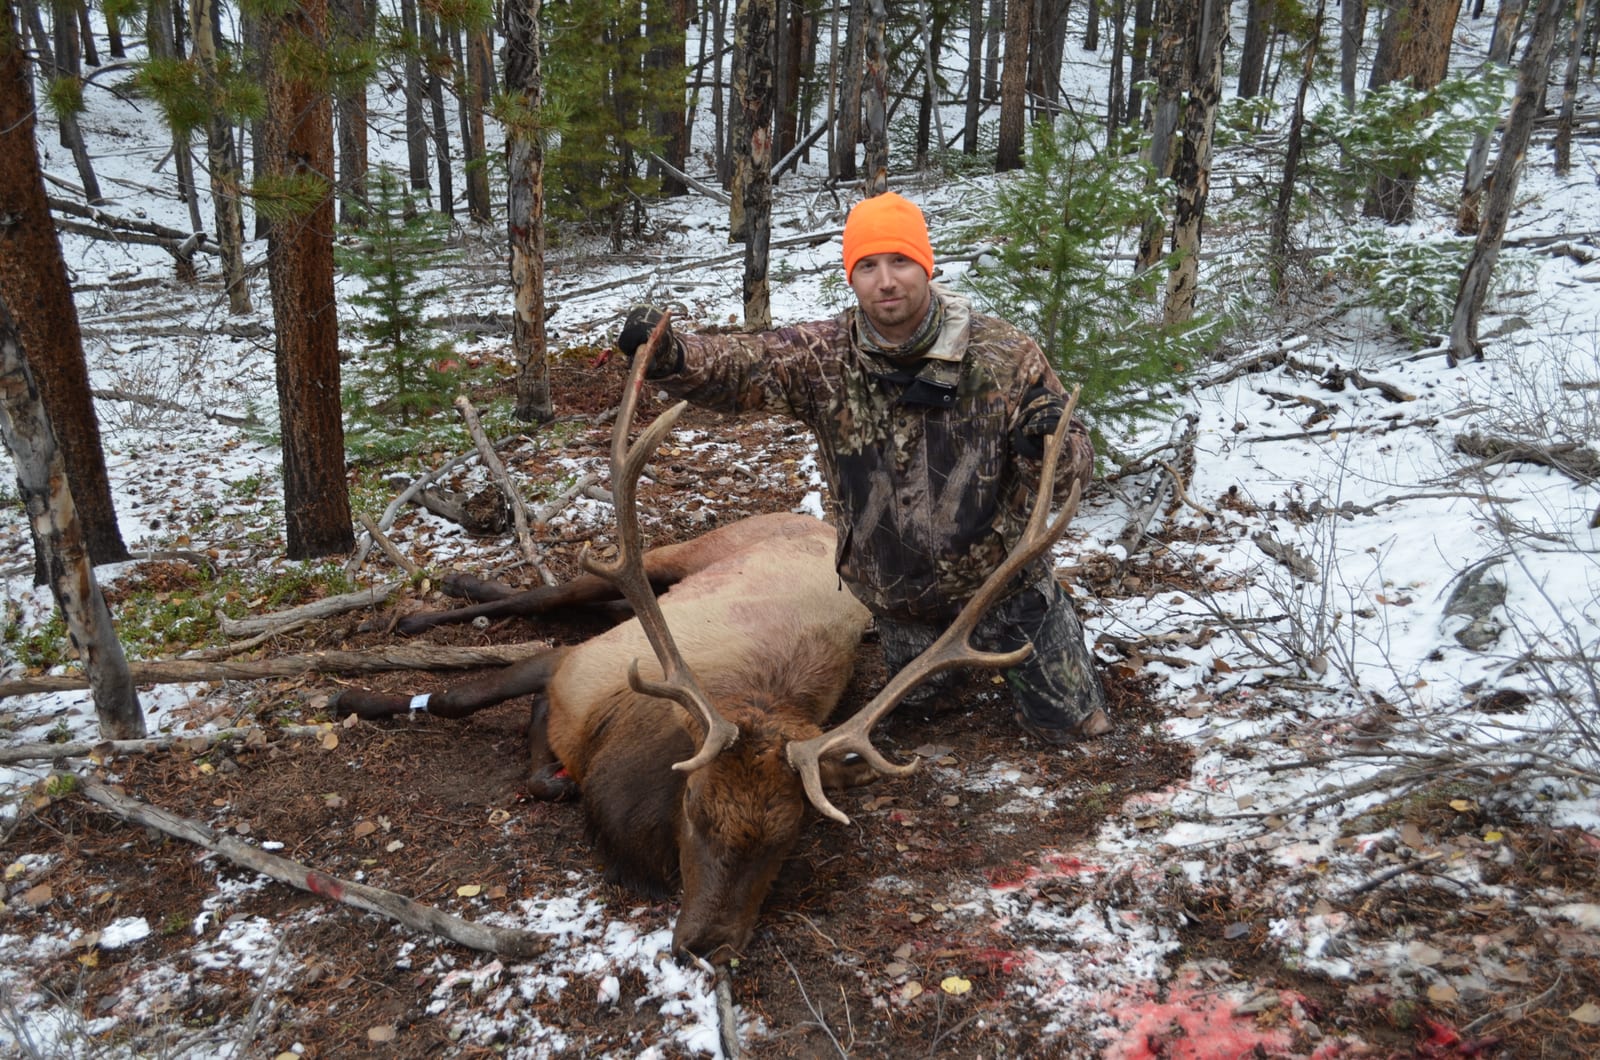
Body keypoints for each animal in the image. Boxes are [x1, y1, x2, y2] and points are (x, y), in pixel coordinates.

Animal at [333, 313, 1084, 963]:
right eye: (693, 808)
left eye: (790, 831)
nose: (707, 944)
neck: (610, 743)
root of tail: (811, 520)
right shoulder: (569, 667)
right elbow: (460, 698)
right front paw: (353, 702)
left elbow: (542, 765)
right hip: (683, 553)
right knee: (552, 593)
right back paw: (426, 607)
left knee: (583, 600)